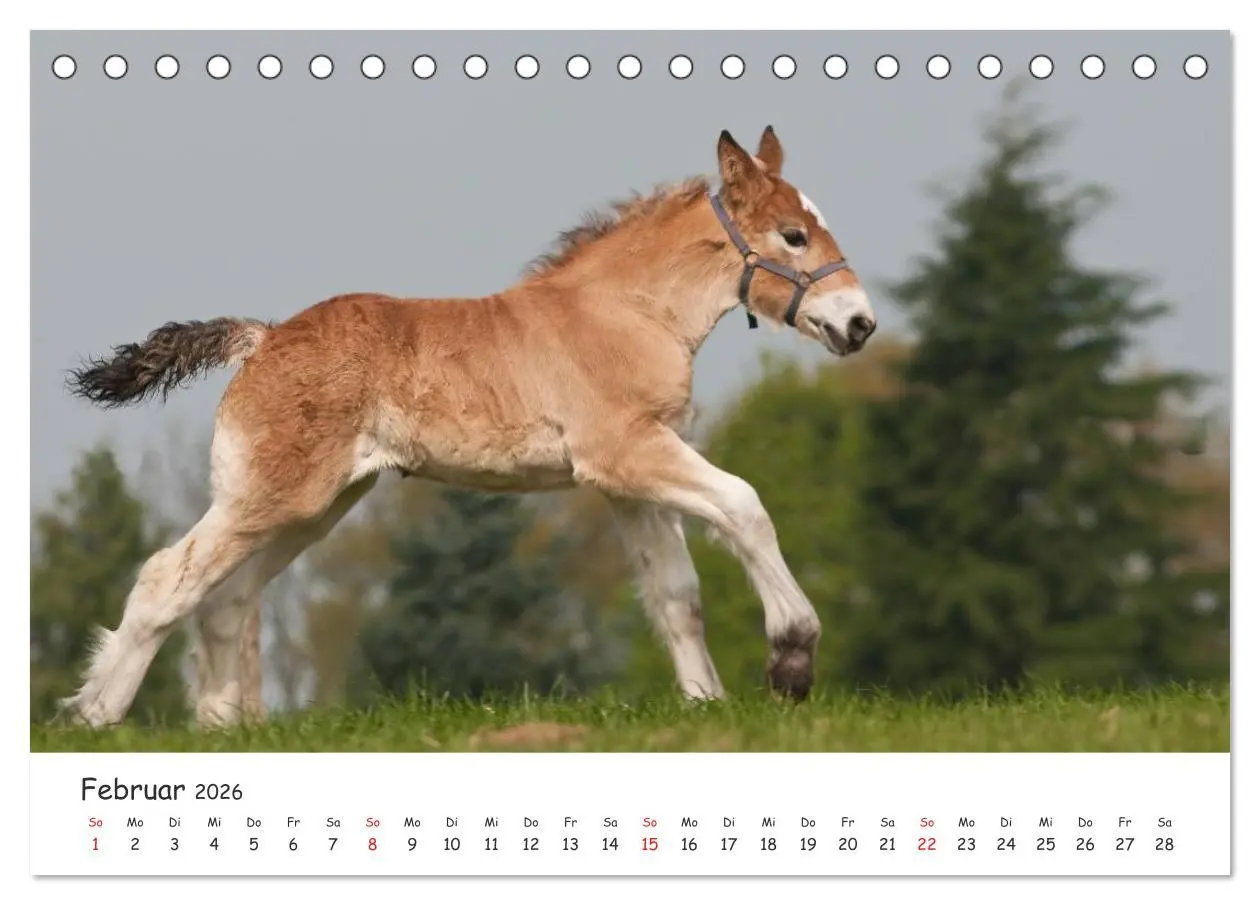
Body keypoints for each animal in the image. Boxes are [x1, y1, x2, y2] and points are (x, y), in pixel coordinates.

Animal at [62, 126, 877, 727]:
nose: (860, 323)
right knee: (167, 579)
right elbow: (744, 505)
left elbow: (676, 594)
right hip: (272, 497)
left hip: (314, 505)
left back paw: (224, 727)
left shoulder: (629, 479)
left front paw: (705, 705)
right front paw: (792, 659)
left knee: (226, 598)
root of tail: (261, 339)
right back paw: (95, 714)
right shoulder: (631, 452)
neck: (626, 312)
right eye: (794, 235)